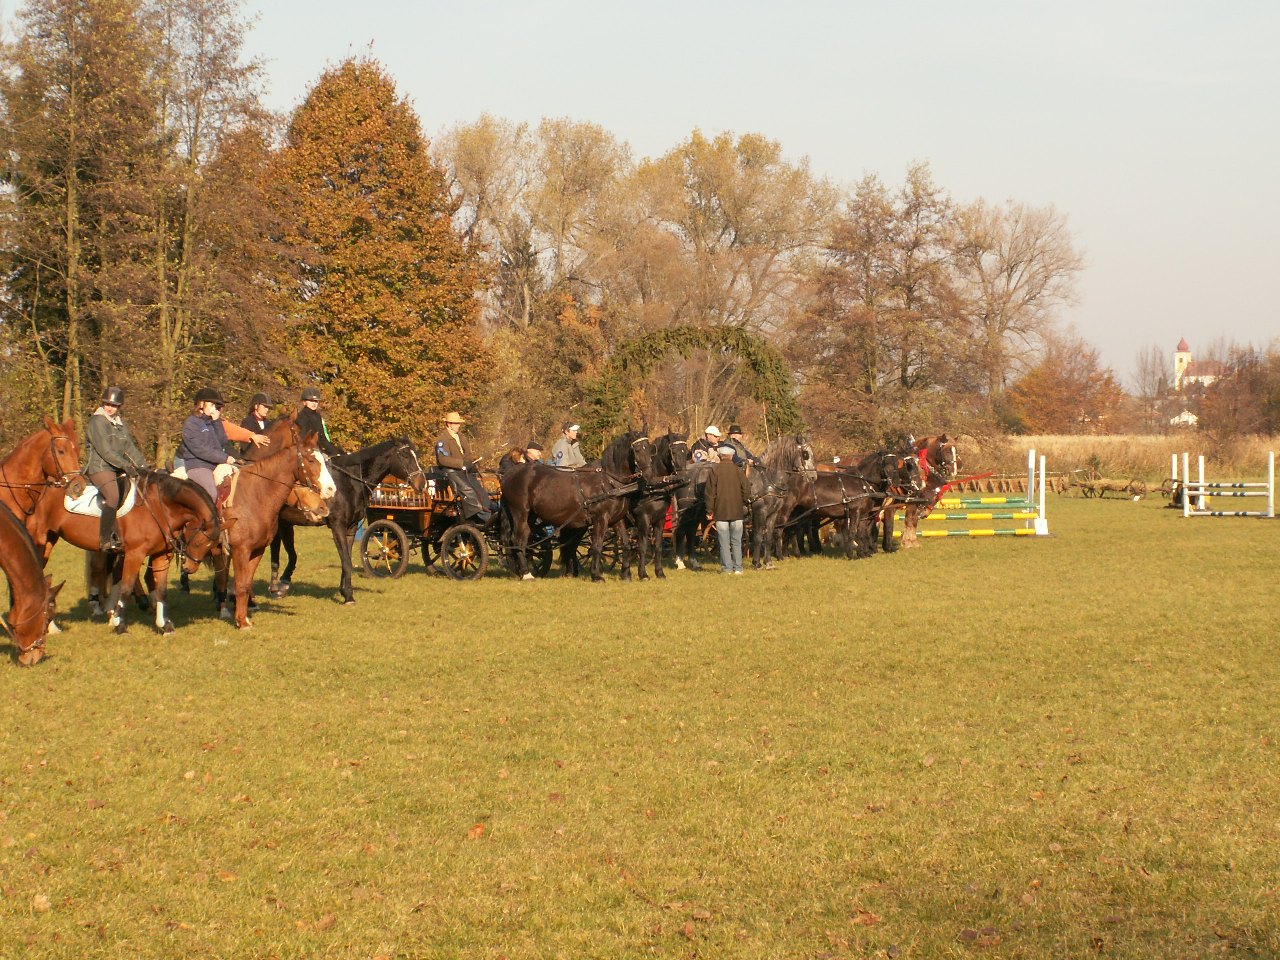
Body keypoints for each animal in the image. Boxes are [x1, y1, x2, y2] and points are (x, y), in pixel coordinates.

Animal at [215, 435, 335, 632]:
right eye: (311, 460)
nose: (331, 490)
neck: (254, 497)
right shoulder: (240, 550)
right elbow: (240, 584)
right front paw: (241, 622)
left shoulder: (256, 551)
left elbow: (246, 583)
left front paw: (244, 618)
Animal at [271, 440, 427, 604]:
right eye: (405, 455)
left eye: (416, 454)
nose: (422, 484)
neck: (347, 484)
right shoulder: (337, 527)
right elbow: (346, 560)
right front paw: (349, 596)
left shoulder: (350, 529)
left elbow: (347, 559)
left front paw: (345, 591)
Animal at [501, 432, 655, 583]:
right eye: (637, 449)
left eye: (649, 448)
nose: (649, 475)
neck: (609, 481)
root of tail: (509, 474)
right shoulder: (600, 519)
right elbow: (597, 546)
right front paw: (596, 575)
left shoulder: (617, 519)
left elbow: (626, 544)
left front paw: (626, 575)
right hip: (520, 513)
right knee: (517, 540)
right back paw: (526, 573)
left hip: (531, 516)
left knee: (526, 539)